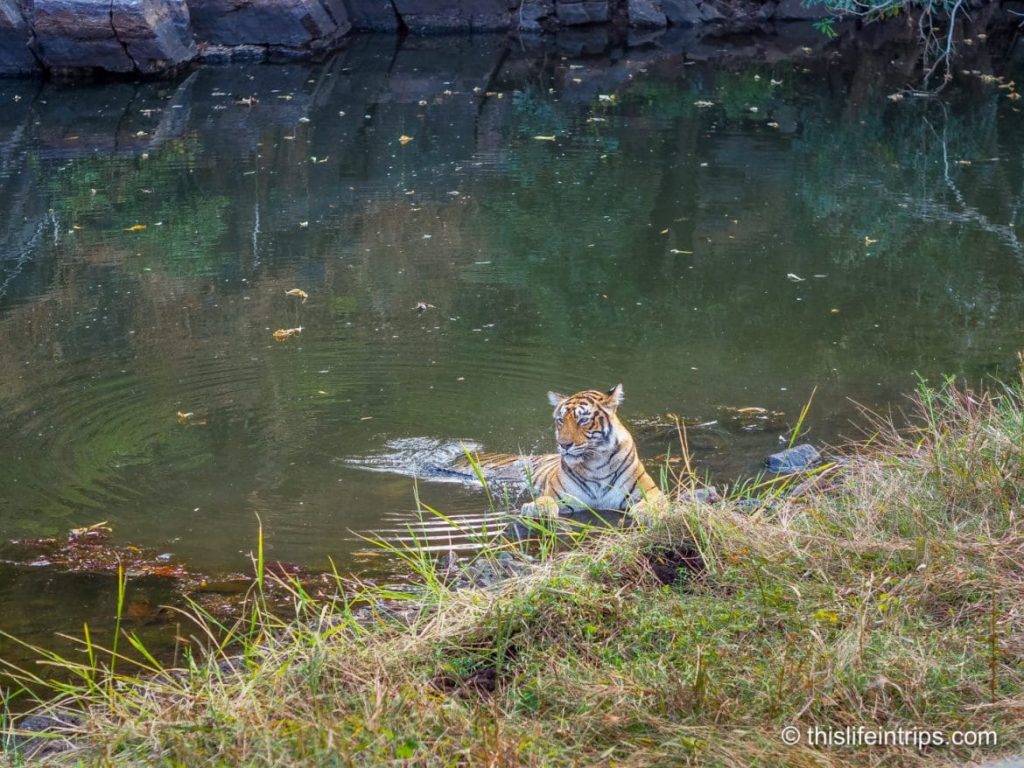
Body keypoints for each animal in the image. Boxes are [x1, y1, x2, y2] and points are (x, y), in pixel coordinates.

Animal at [459, 384, 670, 521]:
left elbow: (656, 502)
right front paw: (535, 508)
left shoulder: (651, 491)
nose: (563, 444)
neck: (596, 464)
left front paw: (645, 512)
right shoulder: (558, 496)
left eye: (583, 420)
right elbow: (545, 501)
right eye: (560, 420)